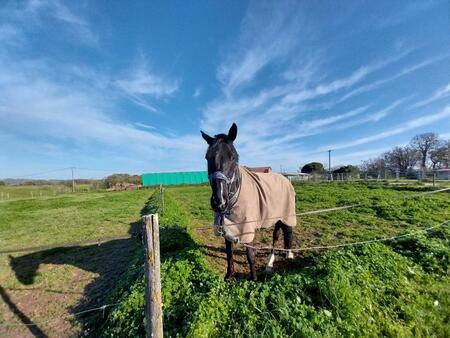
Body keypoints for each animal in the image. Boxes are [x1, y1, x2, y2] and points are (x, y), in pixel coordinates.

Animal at [200, 123, 296, 282]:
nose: (219, 202)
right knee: (277, 235)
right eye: (207, 157)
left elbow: (250, 255)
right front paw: (229, 275)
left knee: (284, 234)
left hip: (285, 215)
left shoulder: (247, 228)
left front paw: (254, 279)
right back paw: (271, 263)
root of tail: (285, 179)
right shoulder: (227, 227)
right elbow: (229, 253)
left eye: (233, 157)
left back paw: (283, 257)